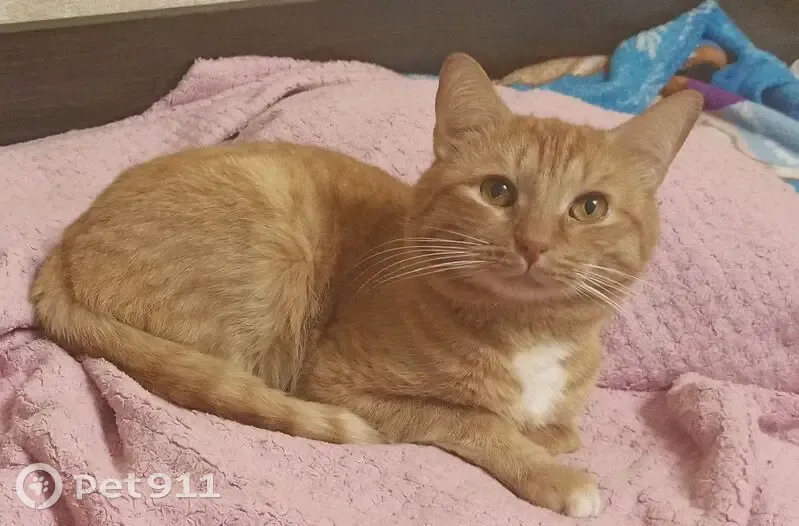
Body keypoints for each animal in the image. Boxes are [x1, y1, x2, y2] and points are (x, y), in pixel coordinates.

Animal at [30, 52, 703, 518]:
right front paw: (554, 473)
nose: (534, 243)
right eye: (498, 191)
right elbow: (475, 420)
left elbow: (559, 427)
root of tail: (64, 247)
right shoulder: (342, 386)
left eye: (590, 208)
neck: (530, 334)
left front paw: (549, 436)